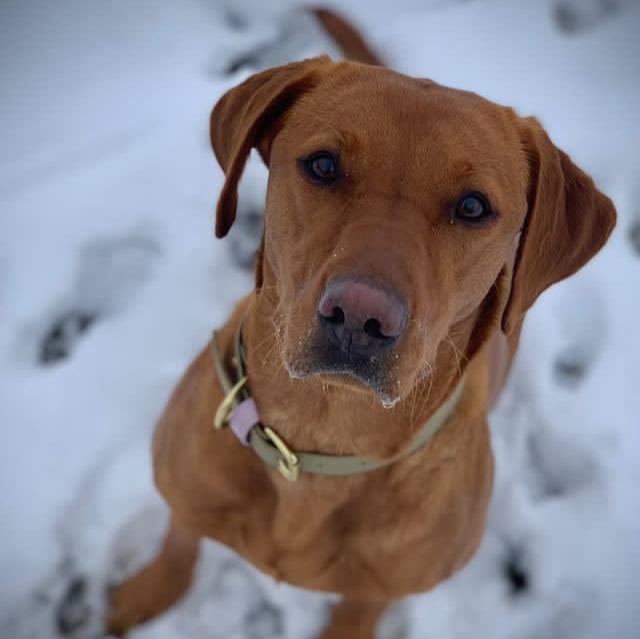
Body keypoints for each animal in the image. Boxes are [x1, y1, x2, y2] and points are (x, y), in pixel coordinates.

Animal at [105, 6, 616, 639]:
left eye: (474, 206)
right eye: (323, 165)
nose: (359, 315)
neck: (323, 435)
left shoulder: (380, 589)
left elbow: (356, 611)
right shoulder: (187, 490)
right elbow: (181, 539)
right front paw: (148, 593)